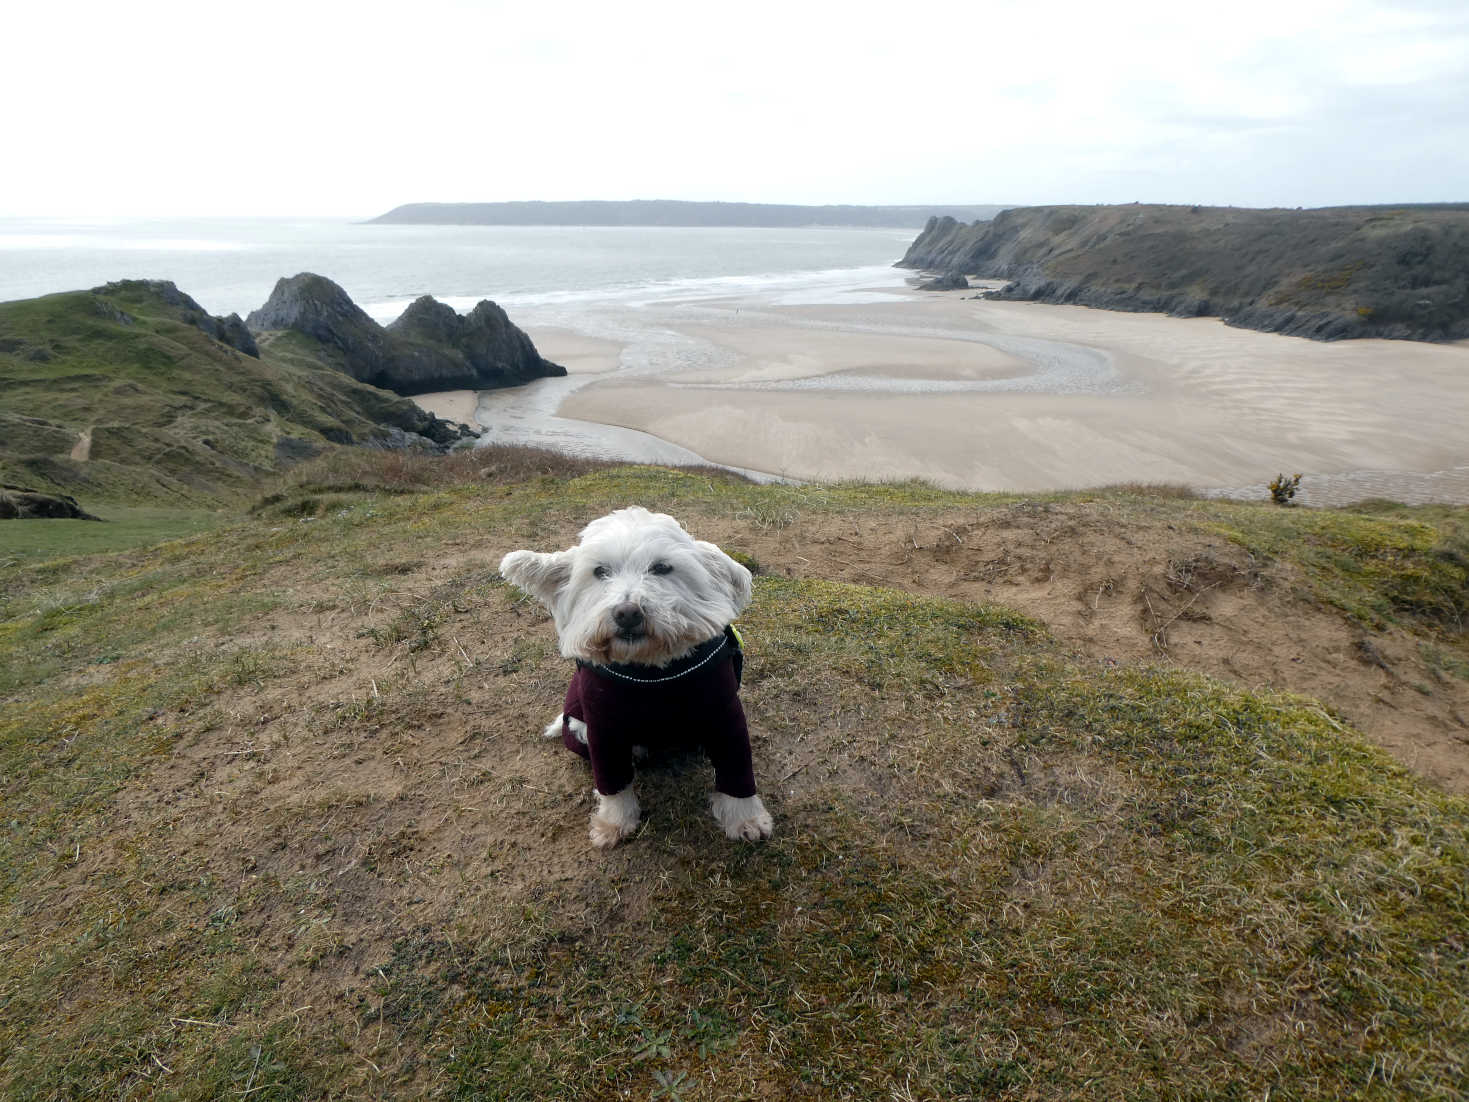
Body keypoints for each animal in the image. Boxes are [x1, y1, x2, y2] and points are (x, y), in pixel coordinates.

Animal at [499, 511, 775, 852]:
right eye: (600, 571)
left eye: (662, 568)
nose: (627, 613)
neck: (650, 674)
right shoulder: (603, 729)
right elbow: (612, 781)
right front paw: (614, 823)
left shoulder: (724, 717)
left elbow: (737, 771)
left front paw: (746, 819)